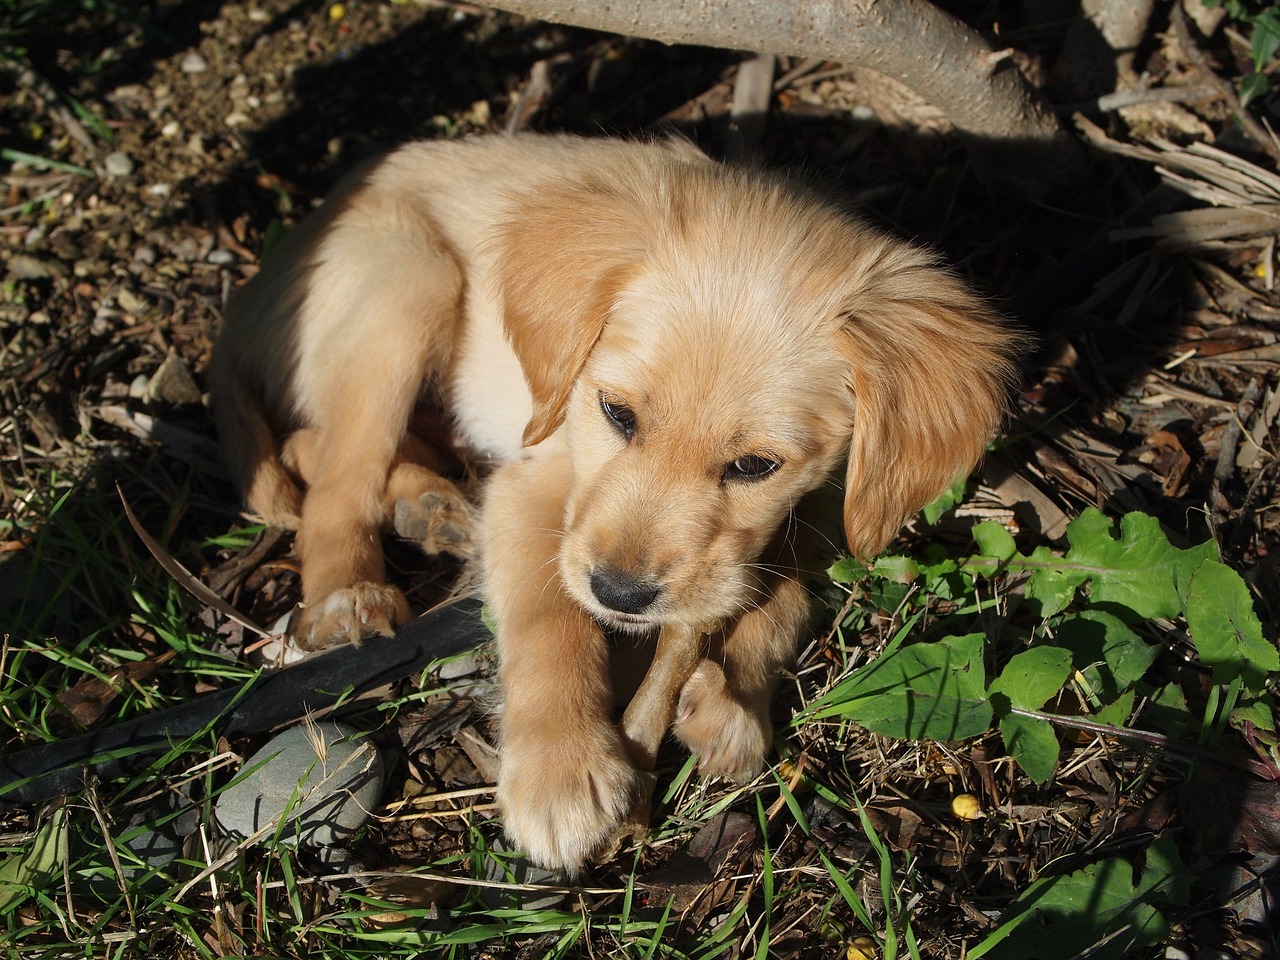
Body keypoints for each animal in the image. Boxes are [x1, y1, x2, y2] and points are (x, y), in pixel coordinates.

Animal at [215, 131, 1024, 875]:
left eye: (754, 465)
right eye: (617, 414)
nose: (623, 595)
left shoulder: (828, 502)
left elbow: (780, 594)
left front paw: (730, 700)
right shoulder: (536, 476)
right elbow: (549, 614)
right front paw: (562, 771)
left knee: (317, 445)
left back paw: (430, 506)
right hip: (406, 281)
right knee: (329, 473)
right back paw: (349, 591)